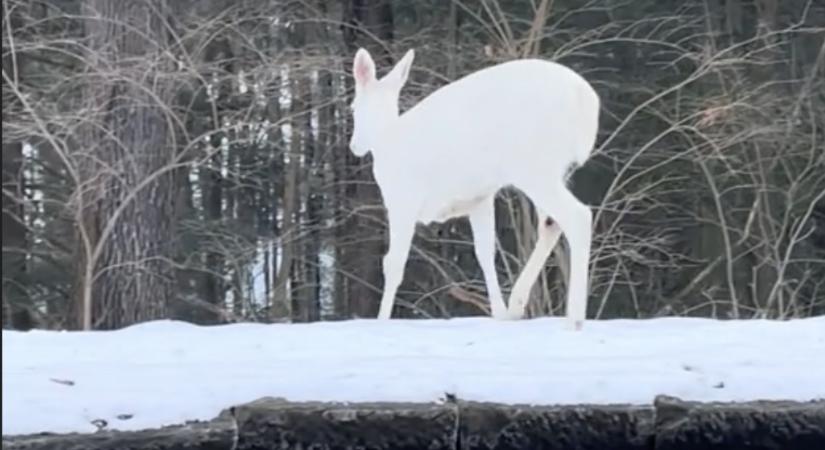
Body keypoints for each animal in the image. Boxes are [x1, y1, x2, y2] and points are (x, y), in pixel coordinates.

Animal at [348, 47, 600, 328]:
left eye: (352, 107)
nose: (354, 146)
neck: (386, 138)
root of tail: (585, 102)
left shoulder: (403, 199)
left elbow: (392, 263)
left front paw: (381, 320)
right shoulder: (480, 197)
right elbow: (485, 252)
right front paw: (499, 314)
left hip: (535, 166)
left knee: (577, 216)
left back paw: (574, 319)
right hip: (554, 171)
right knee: (551, 223)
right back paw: (516, 306)